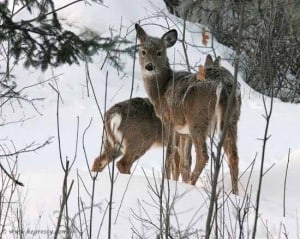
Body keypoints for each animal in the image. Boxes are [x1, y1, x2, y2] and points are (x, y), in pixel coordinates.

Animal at [136, 23, 241, 193]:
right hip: (232, 118)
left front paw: (166, 182)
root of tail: (222, 84)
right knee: (233, 155)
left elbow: (170, 153)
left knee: (203, 155)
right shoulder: (184, 133)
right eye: (143, 51)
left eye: (159, 52)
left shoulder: (169, 120)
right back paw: (235, 194)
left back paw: (192, 185)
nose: (149, 66)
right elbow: (184, 163)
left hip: (198, 118)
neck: (161, 90)